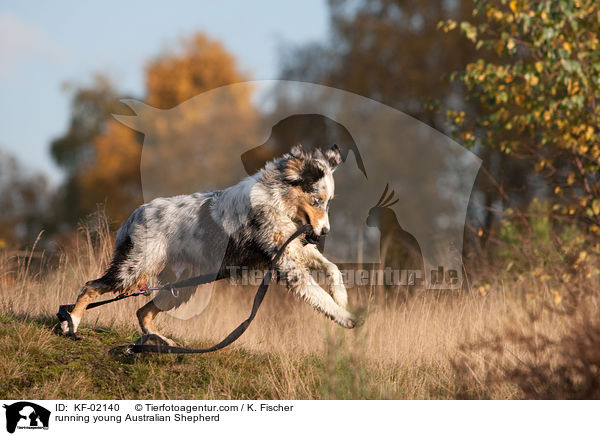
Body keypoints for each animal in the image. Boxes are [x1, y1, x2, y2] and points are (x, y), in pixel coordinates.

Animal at [62, 145, 356, 342]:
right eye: (317, 200)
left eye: (329, 202)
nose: (325, 232)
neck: (277, 200)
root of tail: (134, 216)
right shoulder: (287, 264)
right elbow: (319, 296)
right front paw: (346, 317)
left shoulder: (296, 249)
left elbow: (333, 269)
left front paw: (342, 298)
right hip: (134, 270)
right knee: (90, 287)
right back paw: (72, 323)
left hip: (178, 287)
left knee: (142, 312)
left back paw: (161, 341)